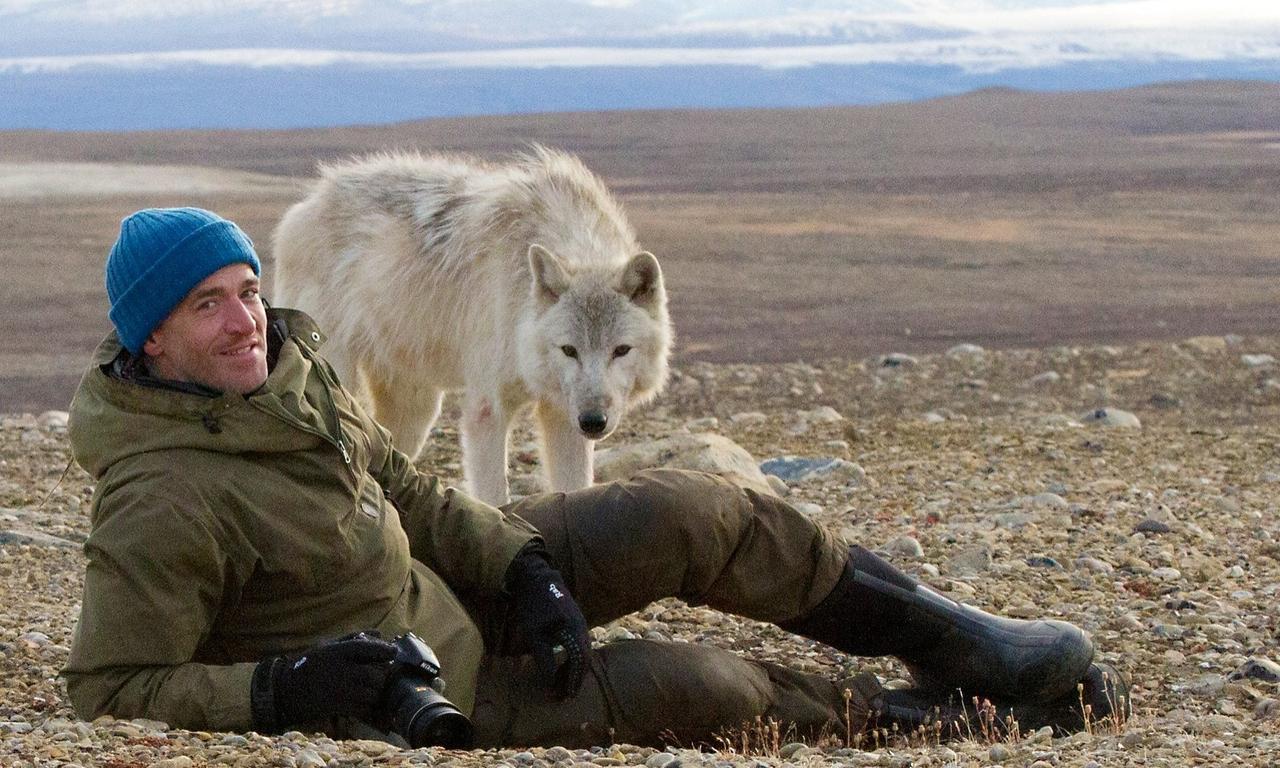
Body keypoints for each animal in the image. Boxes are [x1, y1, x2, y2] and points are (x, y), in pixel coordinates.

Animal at [271, 146, 672, 505]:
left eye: (621, 350)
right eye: (569, 350)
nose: (593, 421)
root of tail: (306, 204)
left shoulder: (561, 415)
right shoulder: (487, 411)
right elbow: (495, 499)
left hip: (416, 410)